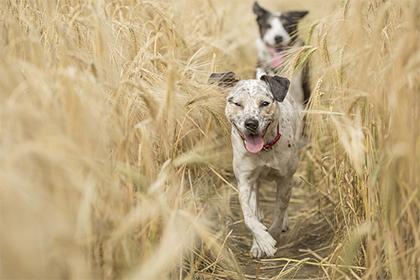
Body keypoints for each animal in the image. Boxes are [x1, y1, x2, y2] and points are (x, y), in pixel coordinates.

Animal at [209, 71, 302, 258]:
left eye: (264, 103)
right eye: (237, 103)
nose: (251, 123)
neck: (264, 149)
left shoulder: (285, 179)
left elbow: (279, 211)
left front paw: (271, 235)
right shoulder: (245, 181)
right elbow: (248, 216)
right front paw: (262, 241)